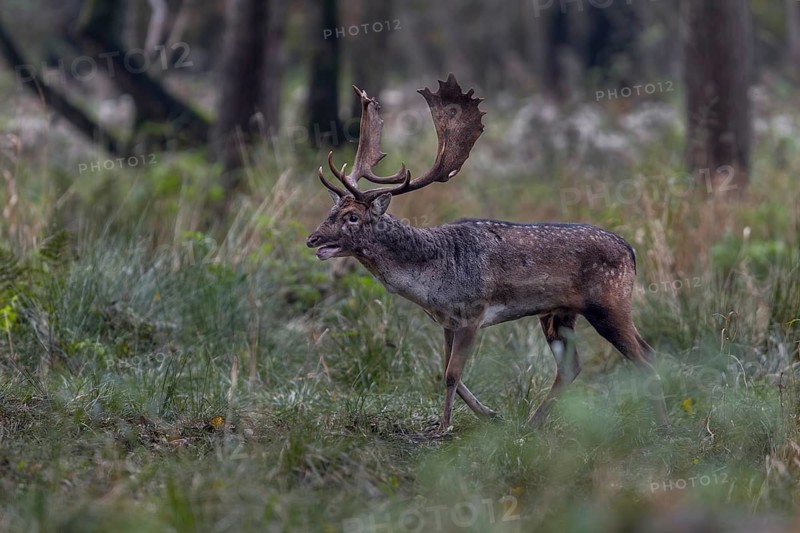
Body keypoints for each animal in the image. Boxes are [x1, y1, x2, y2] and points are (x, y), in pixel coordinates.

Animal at [306, 74, 669, 434]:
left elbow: (451, 374)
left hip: (608, 303)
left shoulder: (472, 313)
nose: (312, 238)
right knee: (578, 365)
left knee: (644, 357)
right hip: (558, 313)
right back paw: (533, 424)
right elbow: (446, 371)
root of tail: (632, 251)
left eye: (352, 216)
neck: (431, 282)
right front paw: (491, 415)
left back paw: (661, 427)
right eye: (330, 209)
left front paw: (444, 428)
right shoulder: (446, 321)